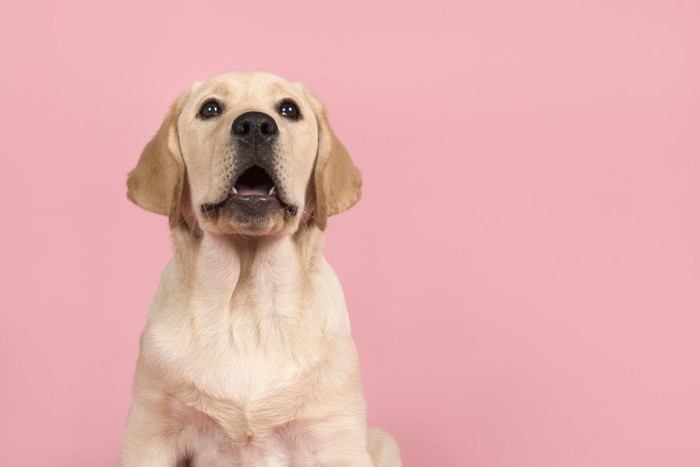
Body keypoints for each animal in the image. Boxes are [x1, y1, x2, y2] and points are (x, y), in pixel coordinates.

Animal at [123, 70, 402, 467]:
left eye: (289, 109)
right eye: (210, 109)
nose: (255, 125)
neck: (247, 303)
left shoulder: (336, 436)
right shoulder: (150, 433)